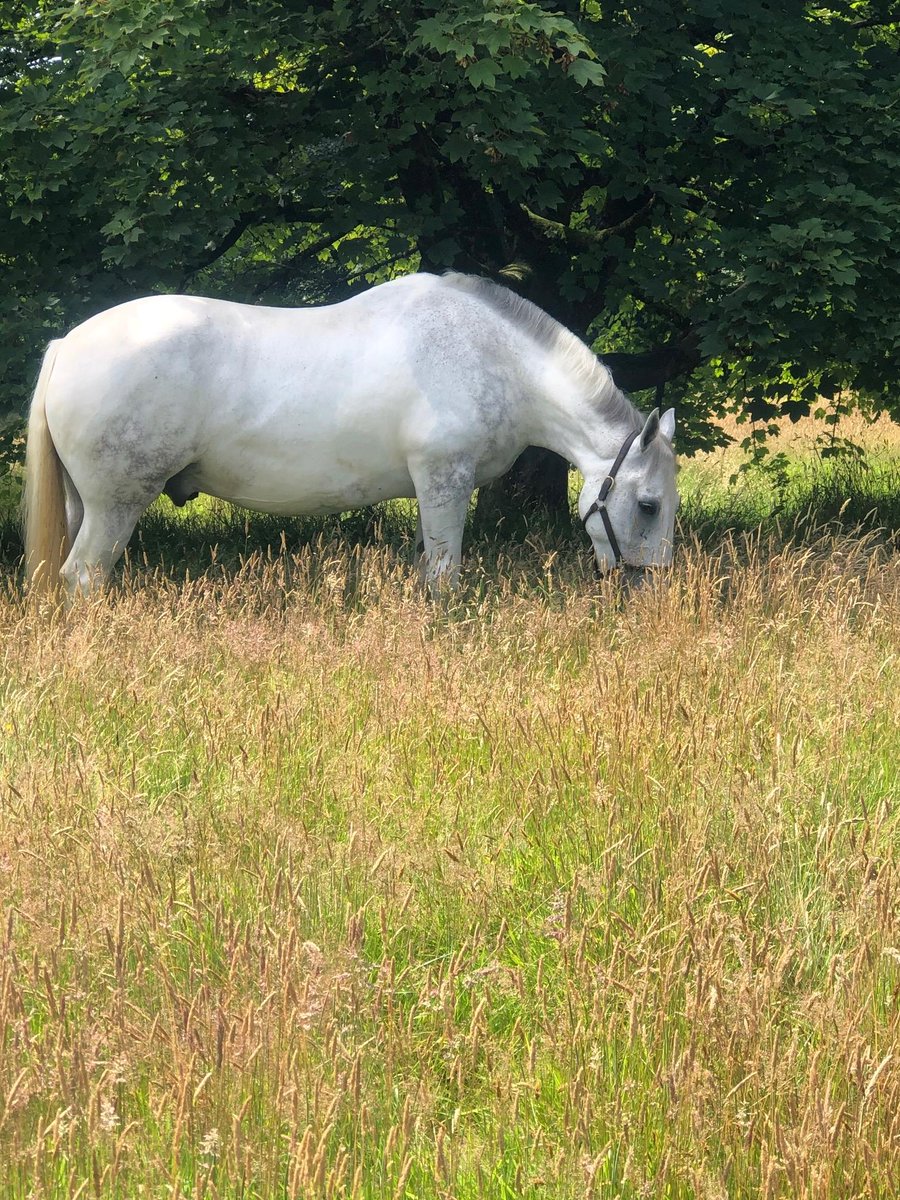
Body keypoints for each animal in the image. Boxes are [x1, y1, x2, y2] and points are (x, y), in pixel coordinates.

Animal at [23, 272, 678, 596]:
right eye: (648, 505)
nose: (653, 594)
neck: (491, 358)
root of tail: (67, 345)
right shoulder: (445, 480)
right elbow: (445, 579)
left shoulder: (430, 490)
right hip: (117, 506)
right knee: (84, 578)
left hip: (85, 505)